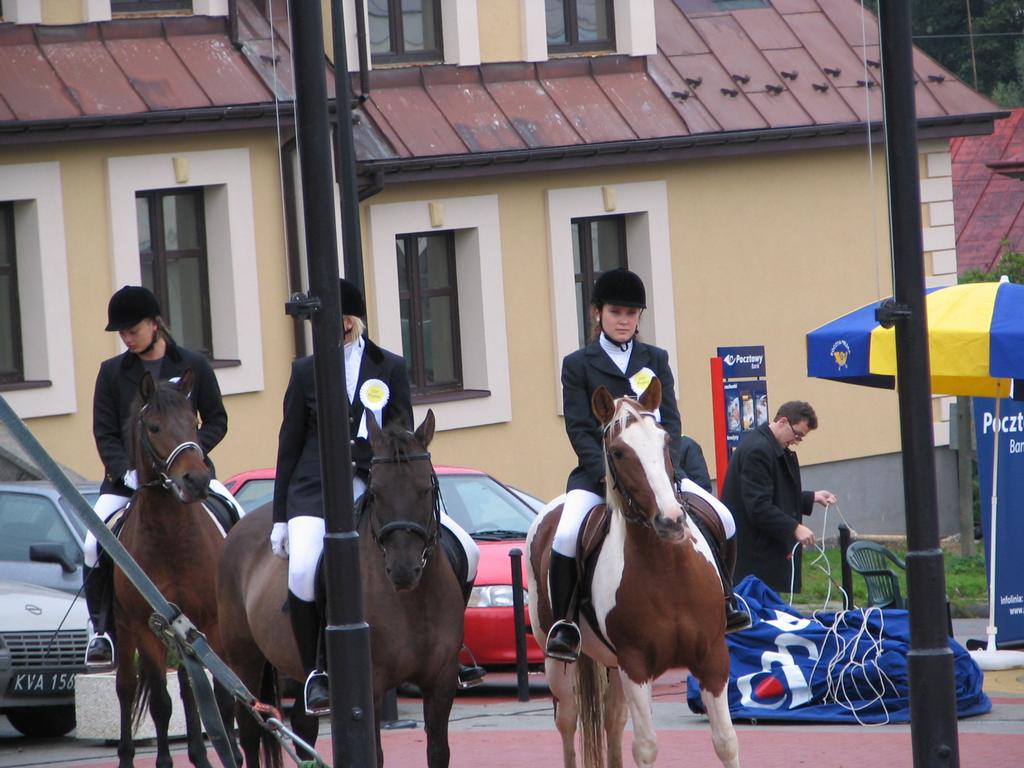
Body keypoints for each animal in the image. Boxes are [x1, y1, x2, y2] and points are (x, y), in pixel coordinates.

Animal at [216, 409, 465, 767]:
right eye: (376, 491)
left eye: (425, 488)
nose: (403, 570)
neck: (412, 604)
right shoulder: (369, 688)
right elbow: (374, 755)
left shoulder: (441, 683)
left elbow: (438, 752)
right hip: (244, 659)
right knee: (250, 732)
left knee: (302, 728)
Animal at [526, 380, 740, 768]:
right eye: (619, 452)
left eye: (665, 441)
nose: (671, 520)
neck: (668, 571)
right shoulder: (636, 665)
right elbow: (646, 747)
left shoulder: (713, 657)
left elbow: (726, 741)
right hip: (558, 664)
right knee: (567, 722)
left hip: (614, 666)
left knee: (612, 720)